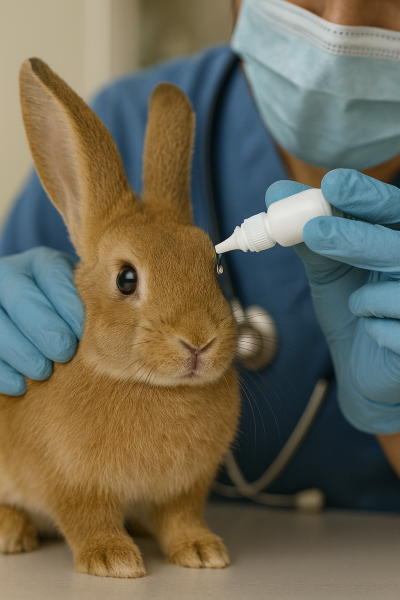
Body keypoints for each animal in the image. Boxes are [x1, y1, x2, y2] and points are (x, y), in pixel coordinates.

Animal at [0, 58, 240, 579]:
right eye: (127, 279)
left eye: (214, 265)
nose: (198, 341)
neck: (152, 386)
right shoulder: (72, 483)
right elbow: (88, 520)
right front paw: (113, 561)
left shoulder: (184, 490)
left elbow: (182, 518)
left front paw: (203, 551)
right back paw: (11, 534)